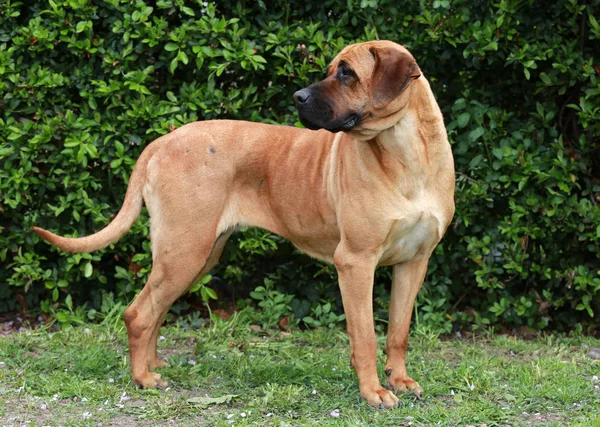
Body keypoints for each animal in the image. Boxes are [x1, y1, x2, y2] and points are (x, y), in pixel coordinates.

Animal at [32, 41, 452, 412]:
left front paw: (399, 380)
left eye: (347, 73)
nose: (298, 96)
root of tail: (160, 142)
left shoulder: (414, 262)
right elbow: (364, 337)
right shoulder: (355, 263)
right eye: (333, 70)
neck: (404, 152)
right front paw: (373, 392)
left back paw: (153, 365)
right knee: (138, 313)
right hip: (186, 250)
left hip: (196, 254)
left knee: (154, 309)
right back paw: (144, 379)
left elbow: (398, 332)